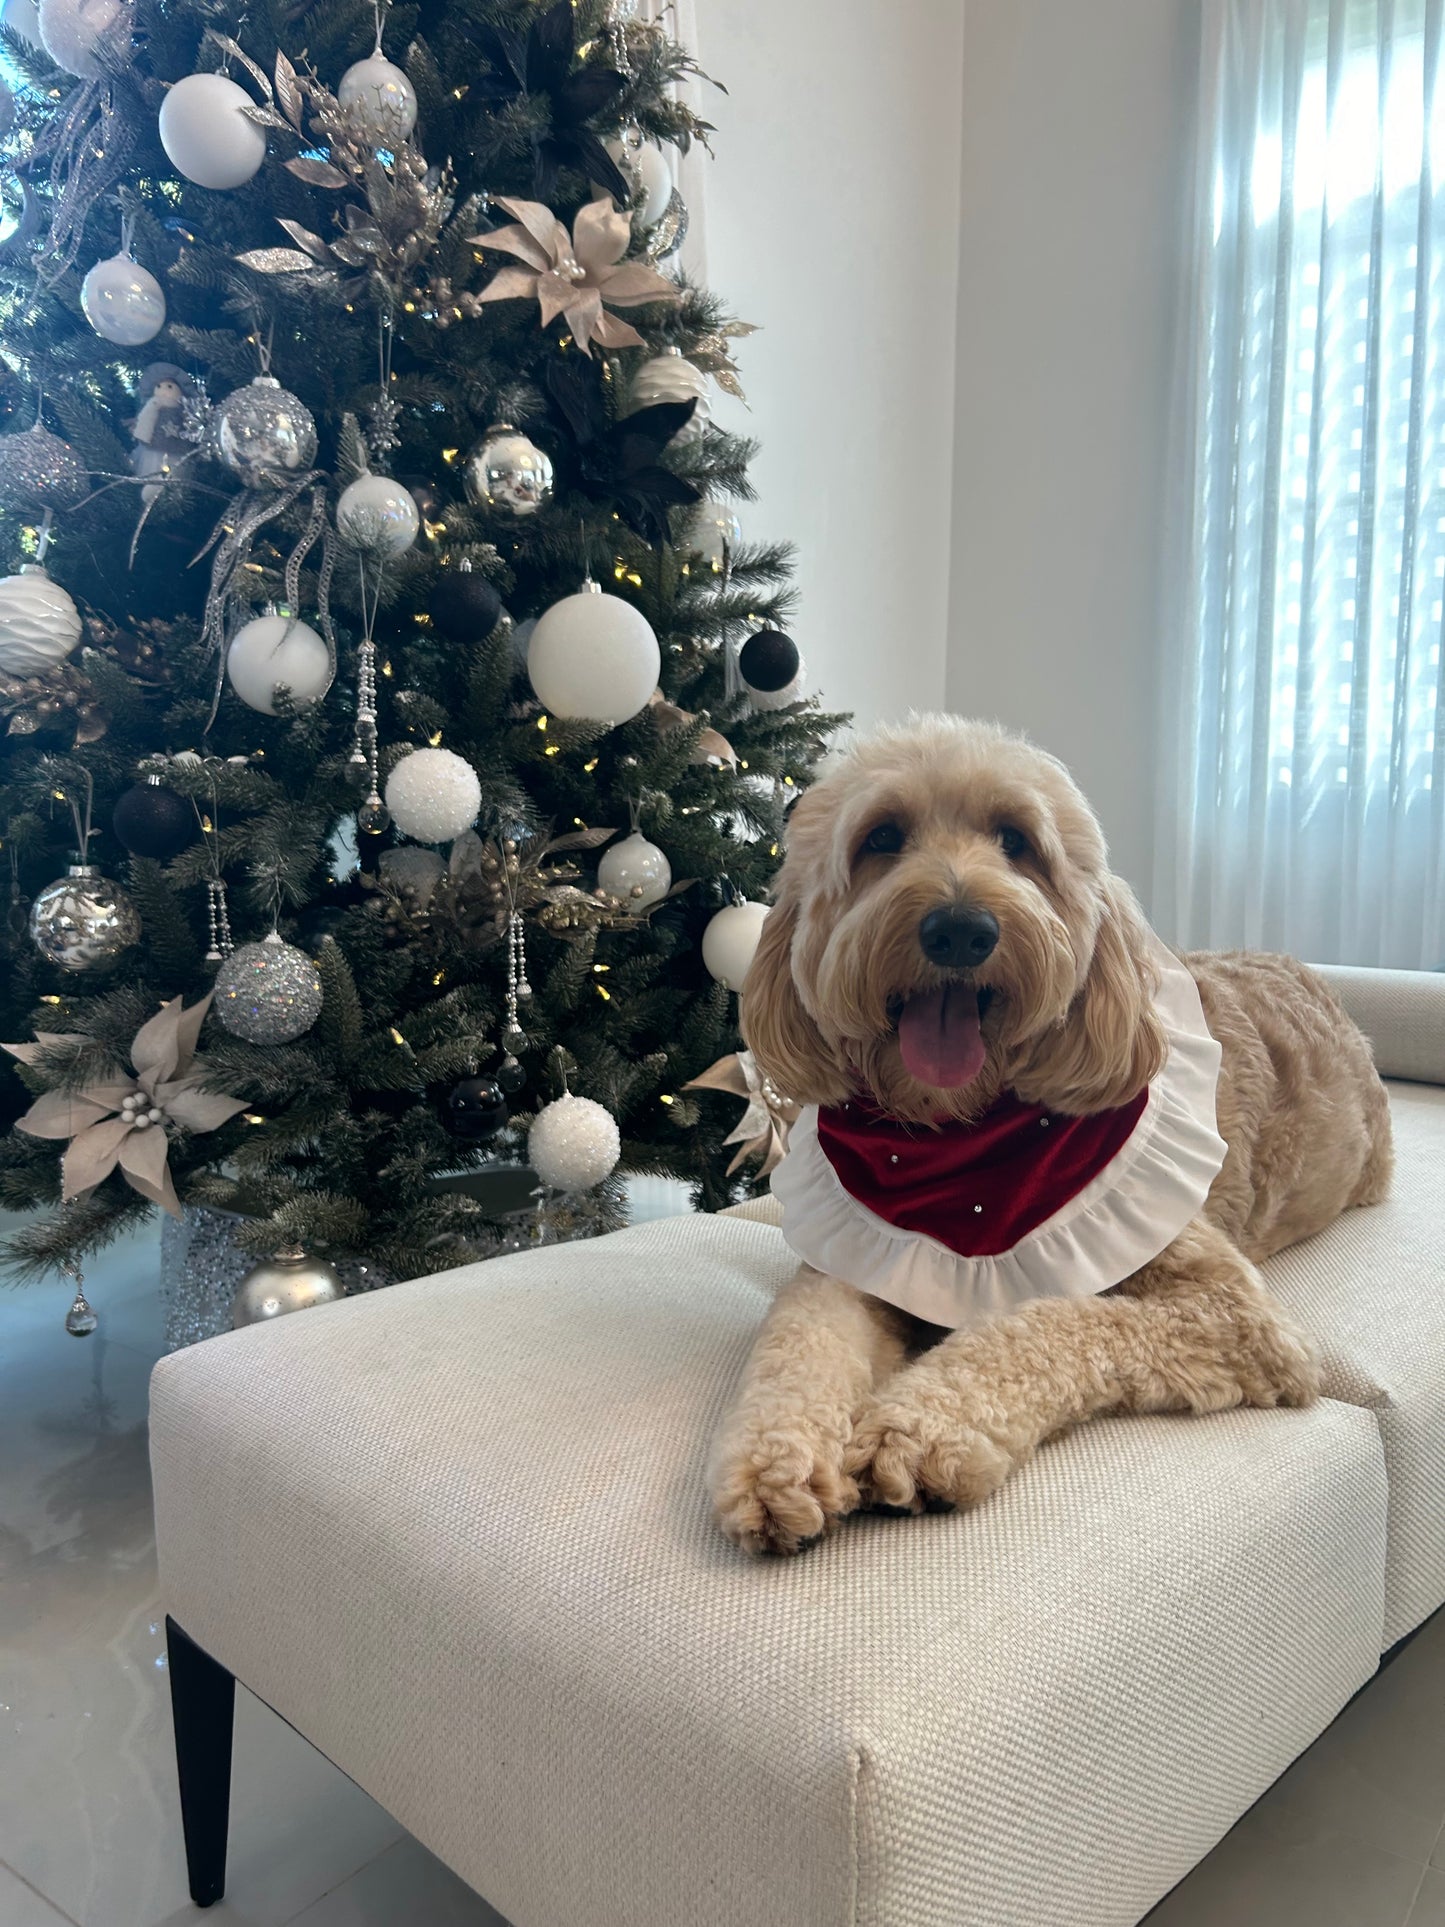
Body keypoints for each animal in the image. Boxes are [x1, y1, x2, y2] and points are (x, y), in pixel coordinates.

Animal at [709, 716, 1394, 1557]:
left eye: (1015, 839)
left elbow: (1054, 1321)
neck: (961, 1137)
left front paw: (917, 1426)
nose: (960, 928)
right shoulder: (853, 1261)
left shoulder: (1235, 1319)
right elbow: (797, 1338)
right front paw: (773, 1460)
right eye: (882, 836)